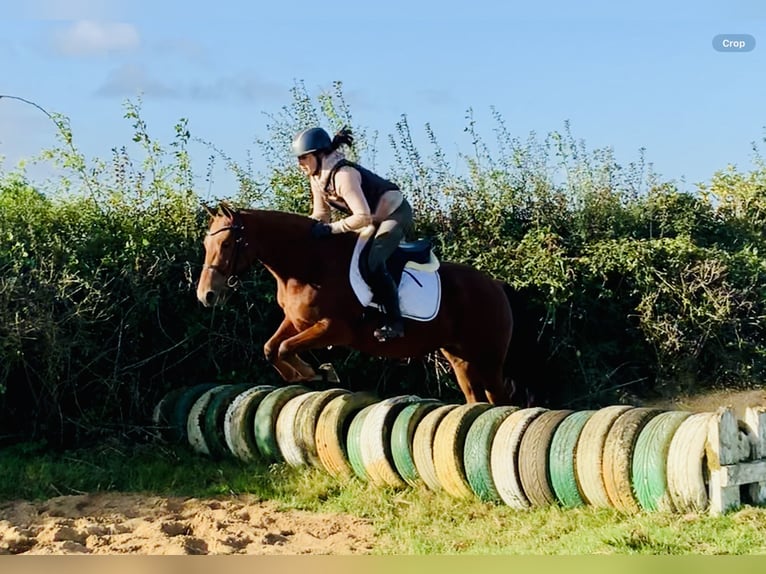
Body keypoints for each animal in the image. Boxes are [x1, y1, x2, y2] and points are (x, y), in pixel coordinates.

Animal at [198, 205, 536, 408]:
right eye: (205, 244)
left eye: (226, 244)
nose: (206, 295)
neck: (308, 264)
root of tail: (496, 286)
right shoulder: (296, 321)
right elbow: (272, 347)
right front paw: (309, 374)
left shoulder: (335, 329)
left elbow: (283, 348)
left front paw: (316, 373)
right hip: (460, 358)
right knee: (476, 397)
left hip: (488, 358)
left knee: (499, 397)